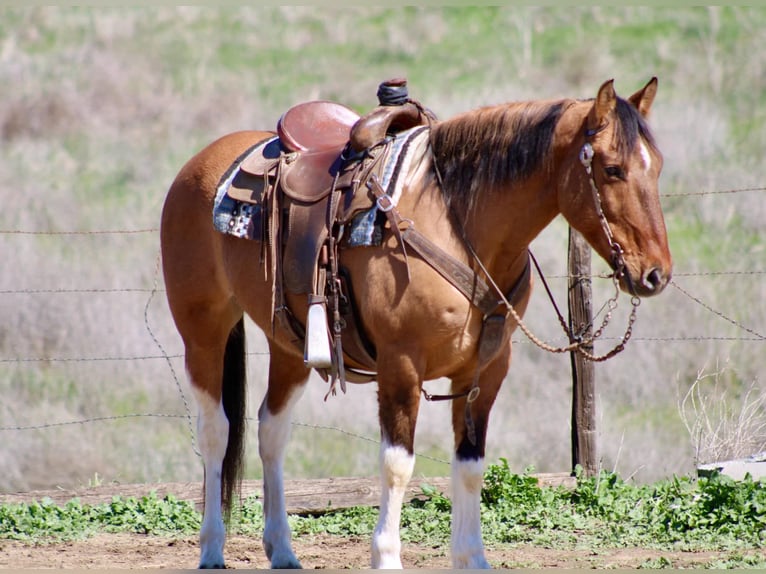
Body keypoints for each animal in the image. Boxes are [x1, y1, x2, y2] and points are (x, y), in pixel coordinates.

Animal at [160, 78, 672, 569]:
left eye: (657, 167)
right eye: (612, 169)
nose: (655, 274)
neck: (457, 223)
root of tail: (202, 163)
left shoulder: (487, 370)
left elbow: (470, 465)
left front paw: (472, 558)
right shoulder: (400, 365)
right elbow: (397, 464)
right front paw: (386, 557)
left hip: (290, 343)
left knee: (271, 431)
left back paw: (283, 550)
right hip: (203, 330)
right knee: (216, 431)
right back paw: (211, 549)